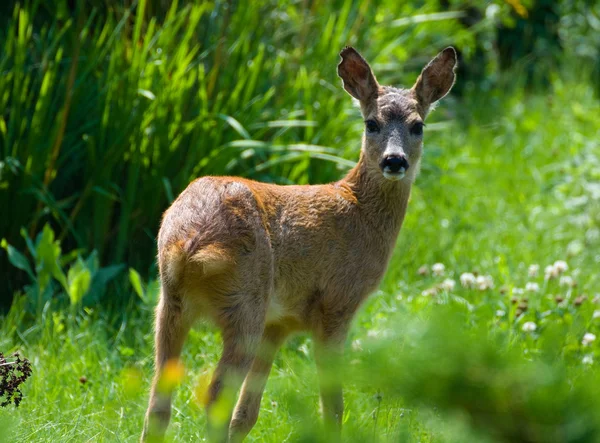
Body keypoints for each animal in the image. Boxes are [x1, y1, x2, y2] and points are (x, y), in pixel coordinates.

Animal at [142, 46, 460, 442]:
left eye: (418, 125)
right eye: (371, 123)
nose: (394, 160)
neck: (359, 209)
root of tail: (190, 240)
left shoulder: (280, 323)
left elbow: (247, 415)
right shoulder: (337, 304)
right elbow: (333, 406)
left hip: (171, 304)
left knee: (160, 400)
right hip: (245, 303)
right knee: (214, 396)